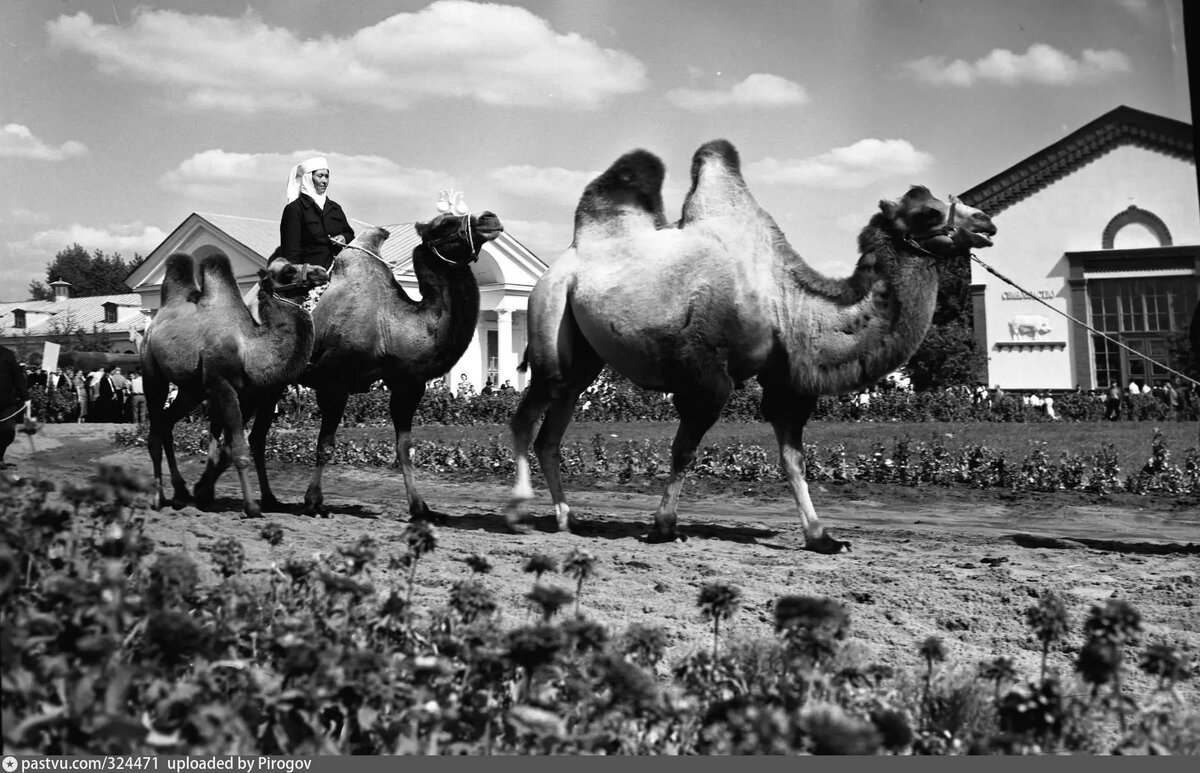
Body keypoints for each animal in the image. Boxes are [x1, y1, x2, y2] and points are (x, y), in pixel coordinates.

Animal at [140, 255, 328, 518]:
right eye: (288, 271)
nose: (321, 272)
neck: (249, 348)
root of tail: (153, 325)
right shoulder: (222, 385)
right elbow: (239, 448)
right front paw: (252, 507)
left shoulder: (248, 394)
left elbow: (232, 447)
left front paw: (204, 493)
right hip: (151, 371)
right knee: (156, 429)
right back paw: (157, 498)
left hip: (191, 391)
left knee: (166, 423)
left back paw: (180, 493)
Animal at [250, 210, 504, 518]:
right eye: (444, 223)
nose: (489, 218)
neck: (393, 326)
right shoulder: (334, 382)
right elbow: (325, 445)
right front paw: (314, 502)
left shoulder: (409, 385)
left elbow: (405, 448)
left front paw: (420, 507)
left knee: (256, 435)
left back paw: (270, 499)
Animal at [506, 137, 993, 549]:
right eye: (928, 213)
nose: (986, 222)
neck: (785, 303)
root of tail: (566, 259)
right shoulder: (706, 376)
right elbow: (684, 450)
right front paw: (664, 528)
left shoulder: (785, 381)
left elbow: (794, 458)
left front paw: (822, 537)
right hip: (547, 313)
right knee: (527, 416)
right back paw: (517, 512)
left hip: (582, 359)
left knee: (552, 429)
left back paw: (567, 520)